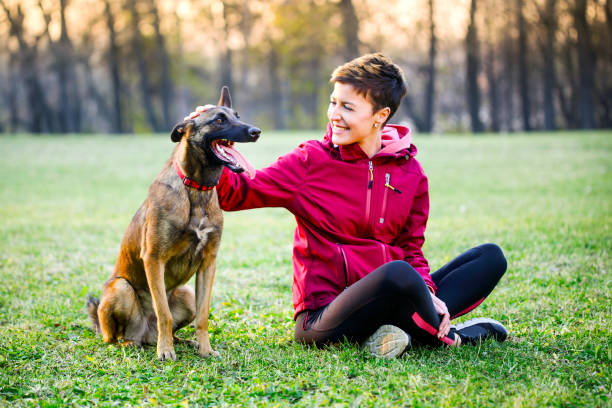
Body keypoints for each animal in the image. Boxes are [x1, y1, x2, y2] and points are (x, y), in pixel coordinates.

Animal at [87, 86, 260, 360]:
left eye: (237, 116)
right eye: (219, 120)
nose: (256, 132)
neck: (197, 190)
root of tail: (145, 334)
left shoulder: (208, 263)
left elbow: (203, 315)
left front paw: (205, 348)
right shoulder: (153, 258)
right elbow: (163, 313)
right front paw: (166, 351)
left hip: (186, 295)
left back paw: (181, 341)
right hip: (120, 288)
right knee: (114, 336)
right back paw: (135, 343)